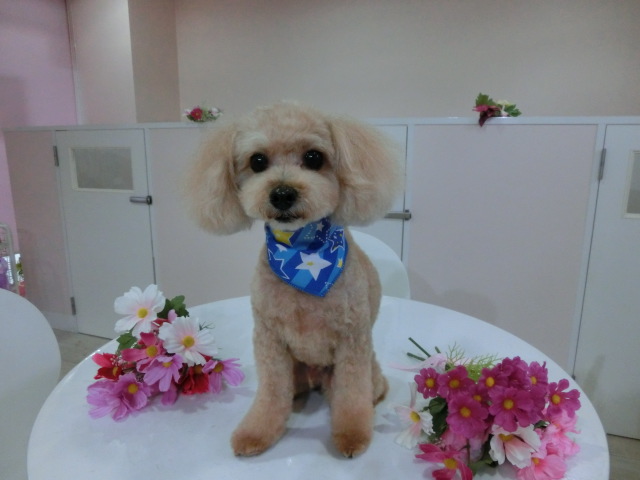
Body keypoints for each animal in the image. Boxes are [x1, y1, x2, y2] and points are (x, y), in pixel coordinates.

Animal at [185, 101, 403, 457]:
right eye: (257, 161)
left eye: (314, 157)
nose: (283, 194)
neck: (302, 253)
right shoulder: (270, 339)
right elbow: (271, 393)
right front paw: (256, 432)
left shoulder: (352, 341)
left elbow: (352, 394)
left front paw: (352, 435)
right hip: (296, 369)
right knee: (291, 389)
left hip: (366, 369)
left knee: (368, 388)